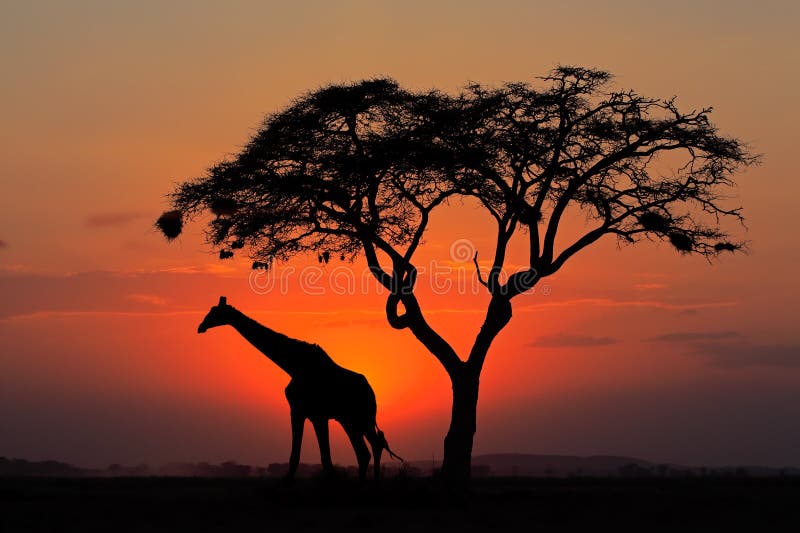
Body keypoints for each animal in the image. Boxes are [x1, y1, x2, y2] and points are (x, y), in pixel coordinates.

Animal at [197, 296, 401, 481]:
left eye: (215, 313)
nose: (200, 327)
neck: (294, 365)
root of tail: (372, 392)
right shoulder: (300, 411)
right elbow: (298, 455)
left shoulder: (317, 414)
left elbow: (324, 458)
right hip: (349, 420)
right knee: (366, 450)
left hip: (361, 418)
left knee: (372, 447)